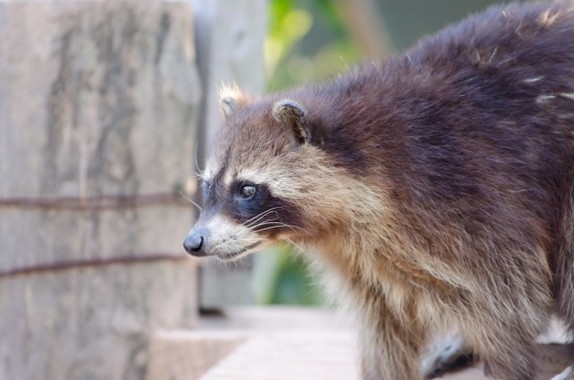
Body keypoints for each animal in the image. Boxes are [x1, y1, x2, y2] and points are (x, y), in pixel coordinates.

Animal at [183, 2, 574, 380]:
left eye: (246, 189)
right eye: (209, 185)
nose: (193, 242)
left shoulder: (471, 197)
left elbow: (511, 302)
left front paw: (508, 363)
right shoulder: (364, 261)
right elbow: (385, 327)